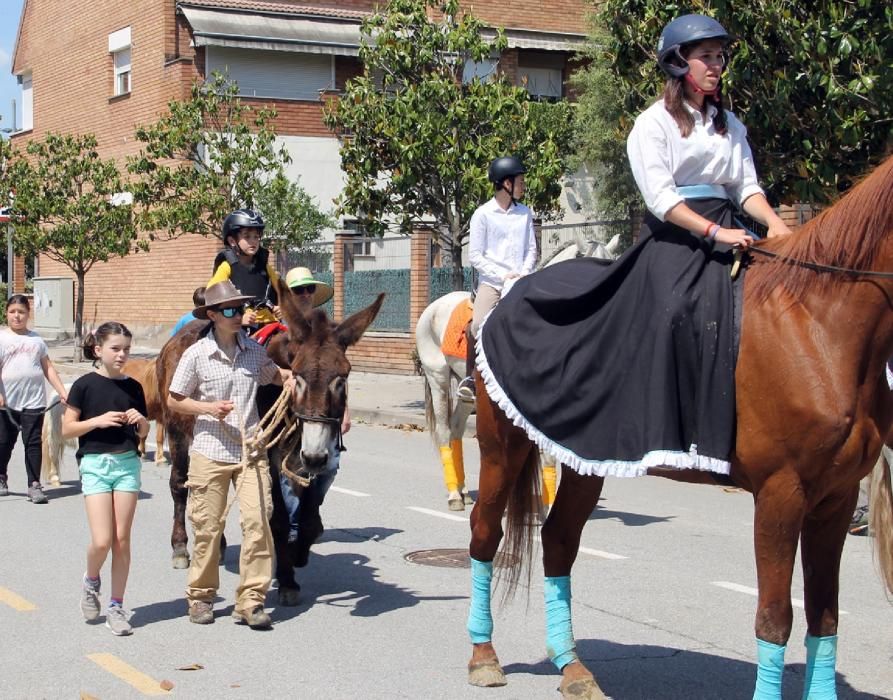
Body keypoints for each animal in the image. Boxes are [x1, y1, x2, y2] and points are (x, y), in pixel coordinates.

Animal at [416, 235, 620, 508]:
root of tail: (433, 307)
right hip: (437, 377)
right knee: (444, 432)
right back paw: (454, 496)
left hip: (465, 395)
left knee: (456, 430)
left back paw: (463, 491)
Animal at [464, 156, 892, 696]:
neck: (817, 322)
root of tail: (511, 292)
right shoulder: (781, 493)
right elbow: (775, 616)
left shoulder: (836, 497)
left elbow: (825, 616)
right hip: (503, 444)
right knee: (485, 531)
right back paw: (483, 656)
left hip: (583, 457)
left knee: (558, 541)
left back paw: (572, 667)